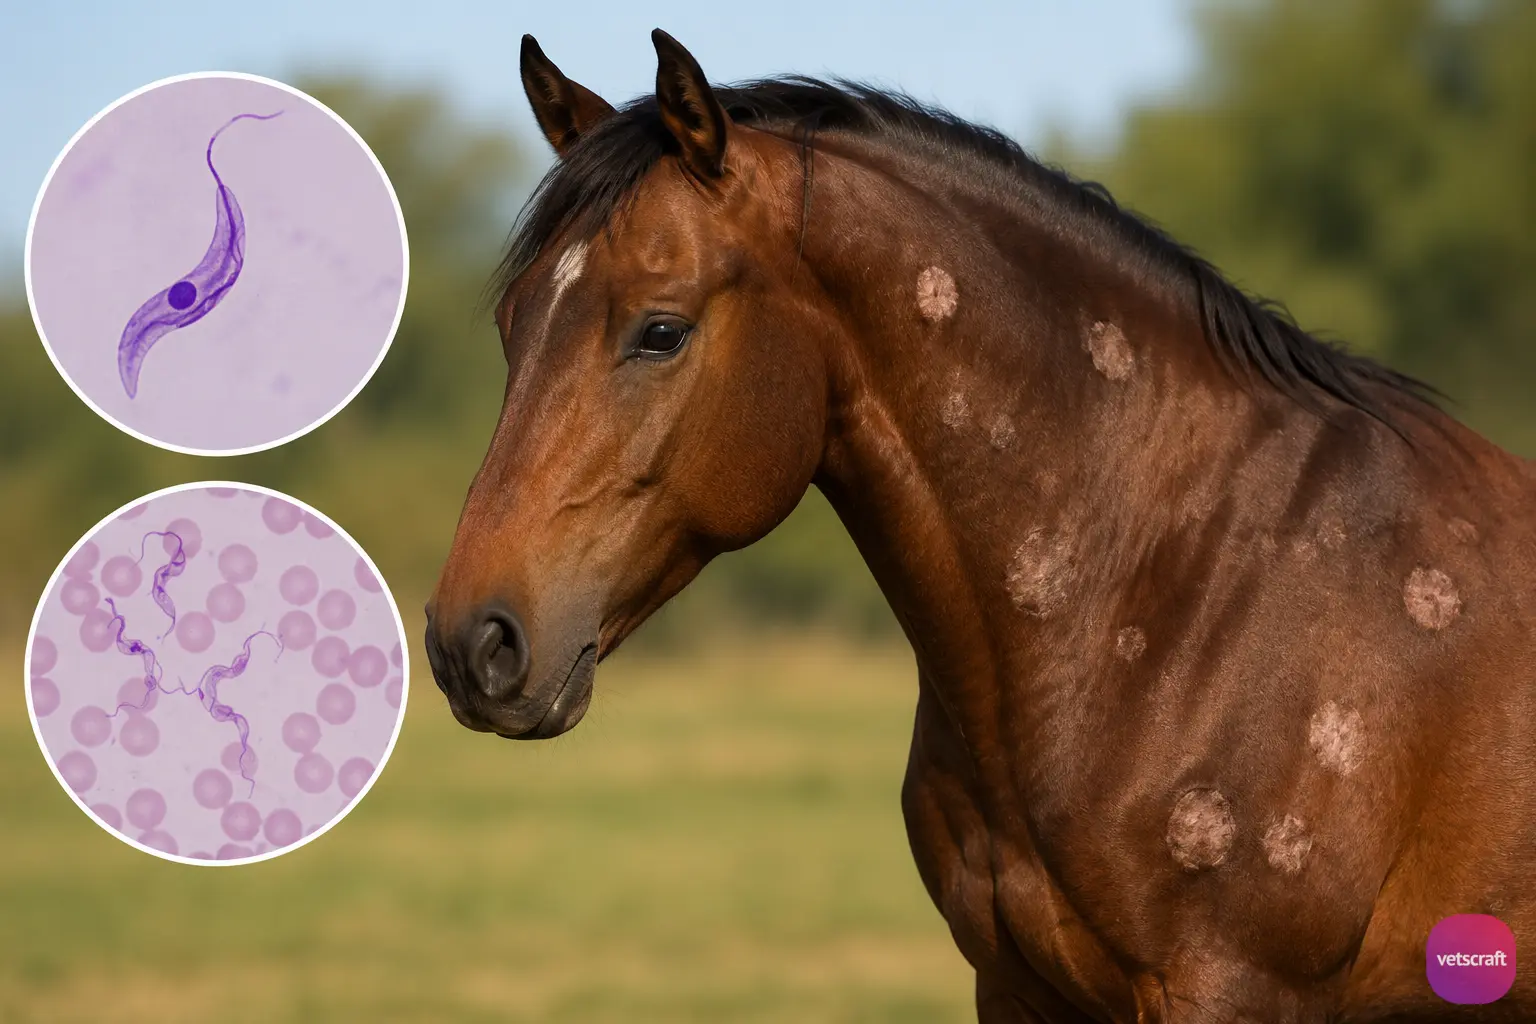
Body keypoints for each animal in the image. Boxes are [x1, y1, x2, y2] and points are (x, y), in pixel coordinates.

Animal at [424, 30, 1536, 1022]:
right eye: (513, 324)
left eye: (661, 329)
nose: (470, 643)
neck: (1178, 589)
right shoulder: (1015, 986)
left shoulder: (1235, 987)